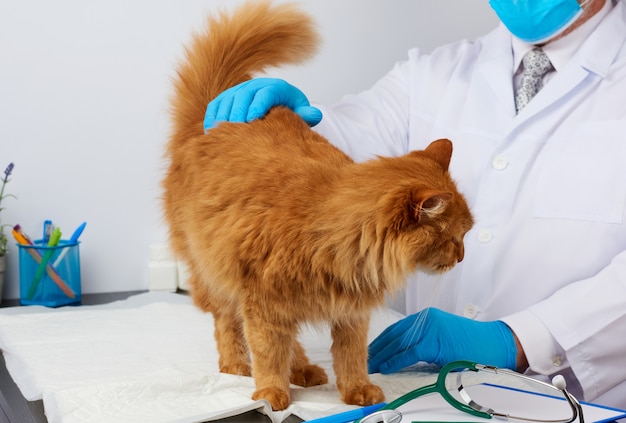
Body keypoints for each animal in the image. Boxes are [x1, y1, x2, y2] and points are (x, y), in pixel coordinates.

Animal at [163, 0, 470, 410]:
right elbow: (267, 353)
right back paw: (236, 366)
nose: (462, 256)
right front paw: (271, 393)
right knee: (228, 324)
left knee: (290, 342)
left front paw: (358, 391)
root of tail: (214, 116)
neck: (328, 233)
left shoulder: (351, 312)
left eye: (464, 236)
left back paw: (303, 370)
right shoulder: (263, 305)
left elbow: (351, 356)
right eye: (453, 238)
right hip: (214, 275)